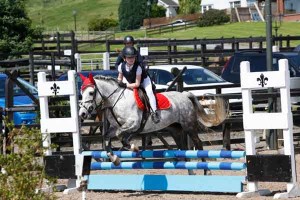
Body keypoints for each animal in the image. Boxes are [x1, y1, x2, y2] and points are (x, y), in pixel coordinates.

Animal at [78, 74, 226, 164]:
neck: (117, 100)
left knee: (199, 144)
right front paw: (114, 159)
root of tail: (185, 95)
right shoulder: (115, 127)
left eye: (91, 92)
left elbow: (121, 136)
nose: (82, 114)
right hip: (175, 129)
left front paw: (134, 148)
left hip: (189, 126)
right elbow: (107, 137)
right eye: (81, 92)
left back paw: (206, 170)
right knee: (182, 147)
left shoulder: (133, 124)